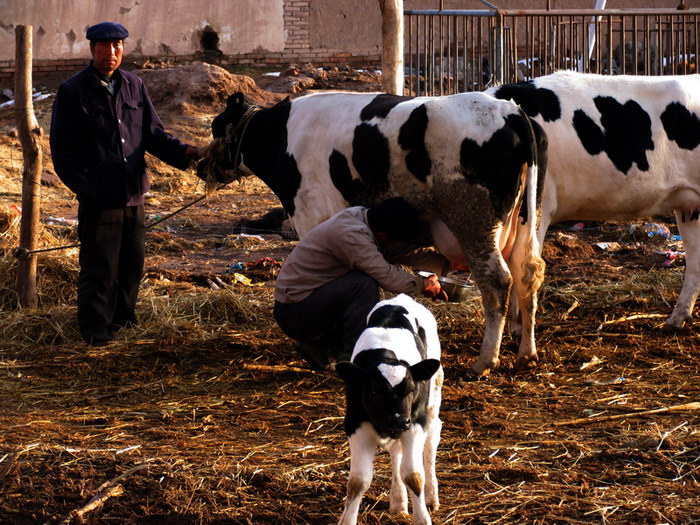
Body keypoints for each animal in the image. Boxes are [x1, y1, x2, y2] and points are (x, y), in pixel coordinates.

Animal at [334, 294, 442, 524]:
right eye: (373, 391)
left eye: (412, 389)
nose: (400, 420)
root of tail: (402, 297)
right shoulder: (355, 423)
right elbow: (358, 481)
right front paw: (347, 518)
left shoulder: (414, 424)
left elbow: (413, 475)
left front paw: (422, 518)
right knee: (396, 452)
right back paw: (398, 501)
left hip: (433, 397)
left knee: (431, 439)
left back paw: (431, 497)